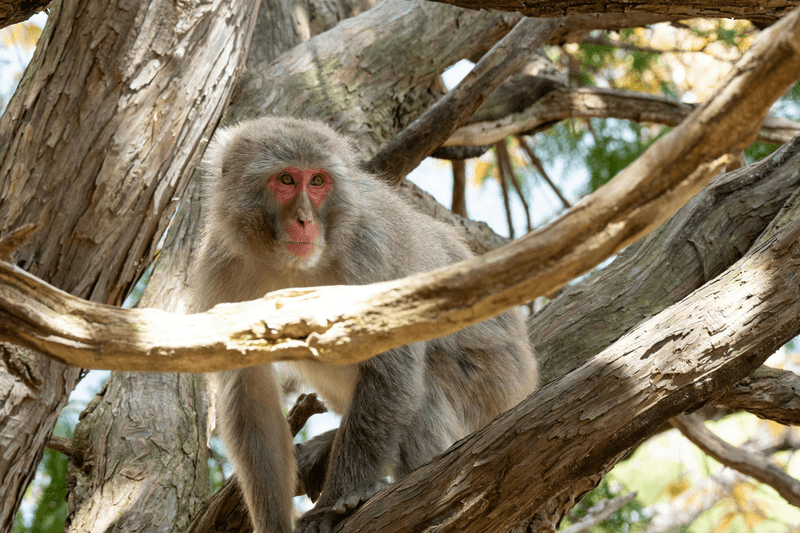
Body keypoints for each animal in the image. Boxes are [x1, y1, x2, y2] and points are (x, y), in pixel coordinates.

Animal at [187, 116, 538, 533]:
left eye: (317, 181)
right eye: (286, 180)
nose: (305, 220)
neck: (291, 266)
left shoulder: (369, 250)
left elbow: (392, 360)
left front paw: (336, 504)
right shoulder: (220, 267)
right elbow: (248, 390)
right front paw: (273, 523)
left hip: (495, 388)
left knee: (424, 384)